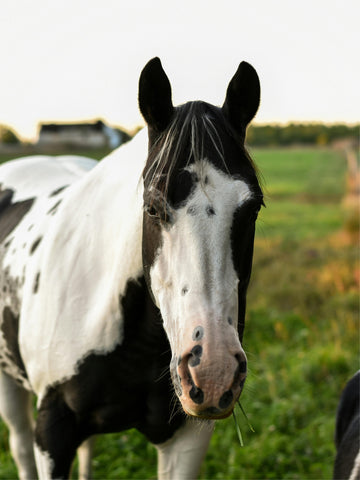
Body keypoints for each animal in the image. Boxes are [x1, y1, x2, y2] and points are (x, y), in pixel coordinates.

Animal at [0, 57, 264, 480]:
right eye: (153, 207)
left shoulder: (185, 440)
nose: (213, 370)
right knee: (20, 446)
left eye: (252, 208)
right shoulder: (52, 433)